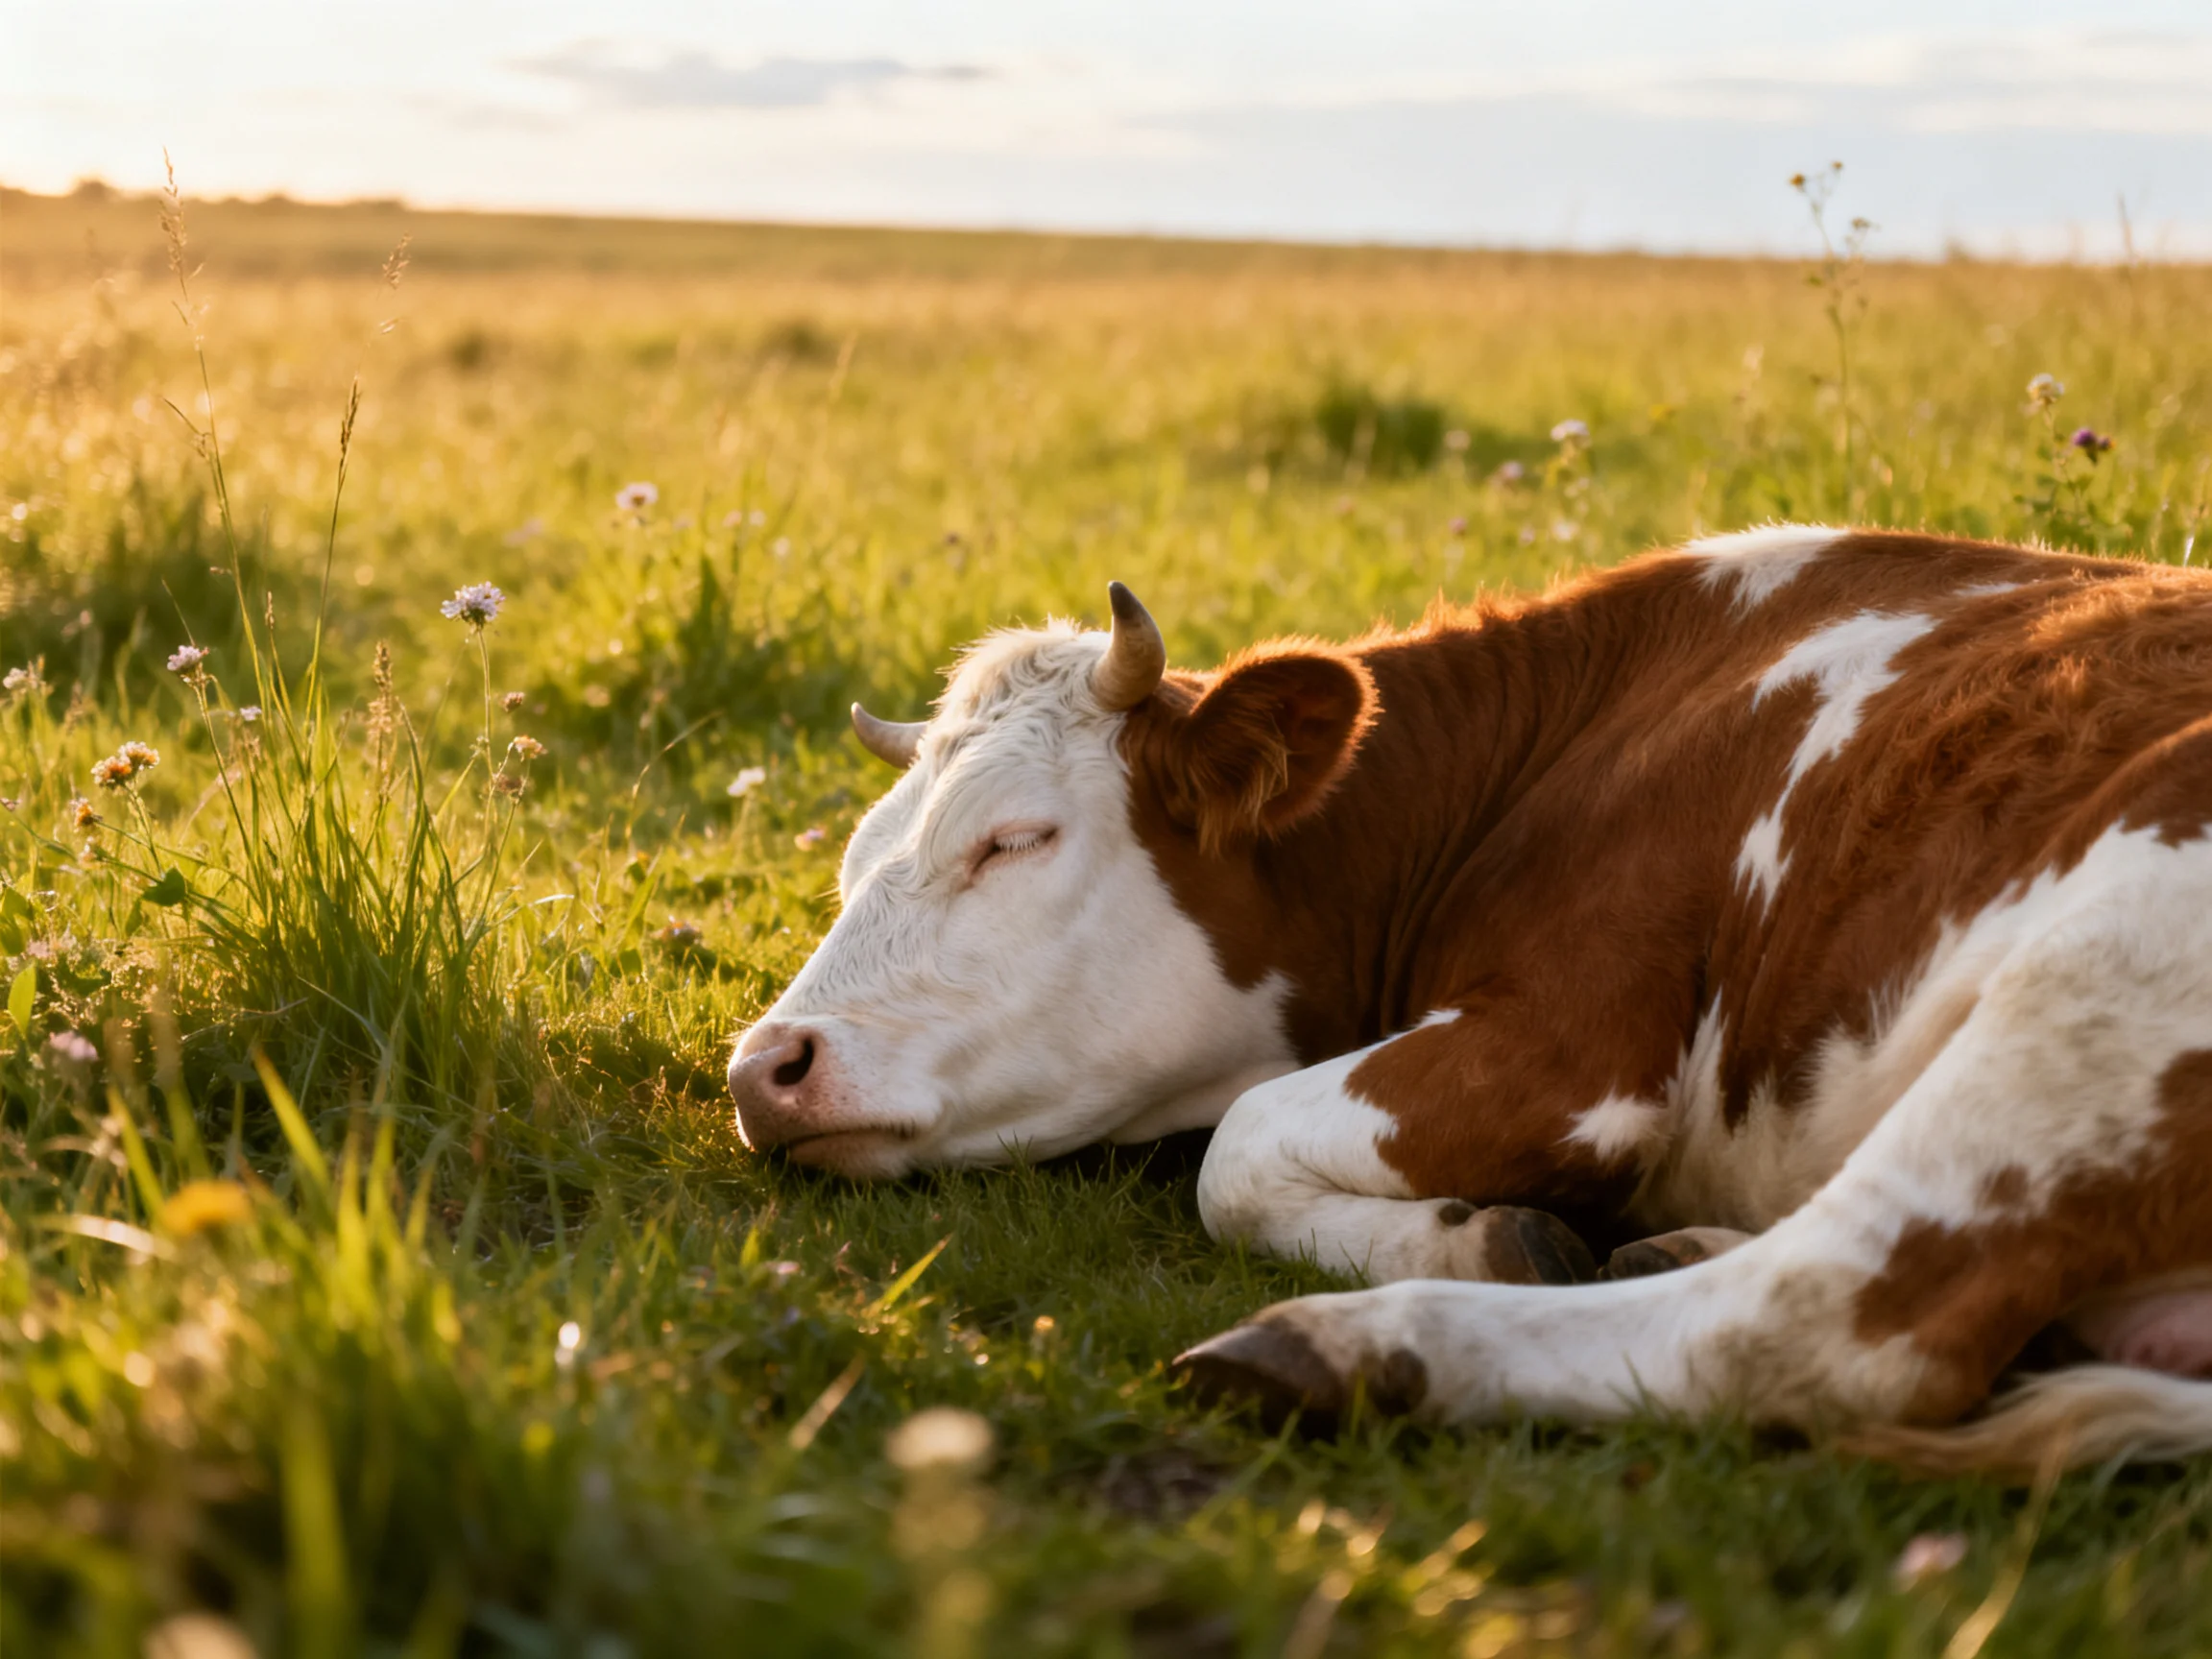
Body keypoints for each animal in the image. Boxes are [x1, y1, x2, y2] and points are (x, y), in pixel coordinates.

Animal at [727, 526, 2212, 1473]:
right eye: (857, 858)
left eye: (1012, 840)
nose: (765, 1068)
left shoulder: (1579, 1057)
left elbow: (1237, 1150)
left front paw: (1484, 1241)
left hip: (2095, 983)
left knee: (1824, 1325)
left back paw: (1346, 1348)